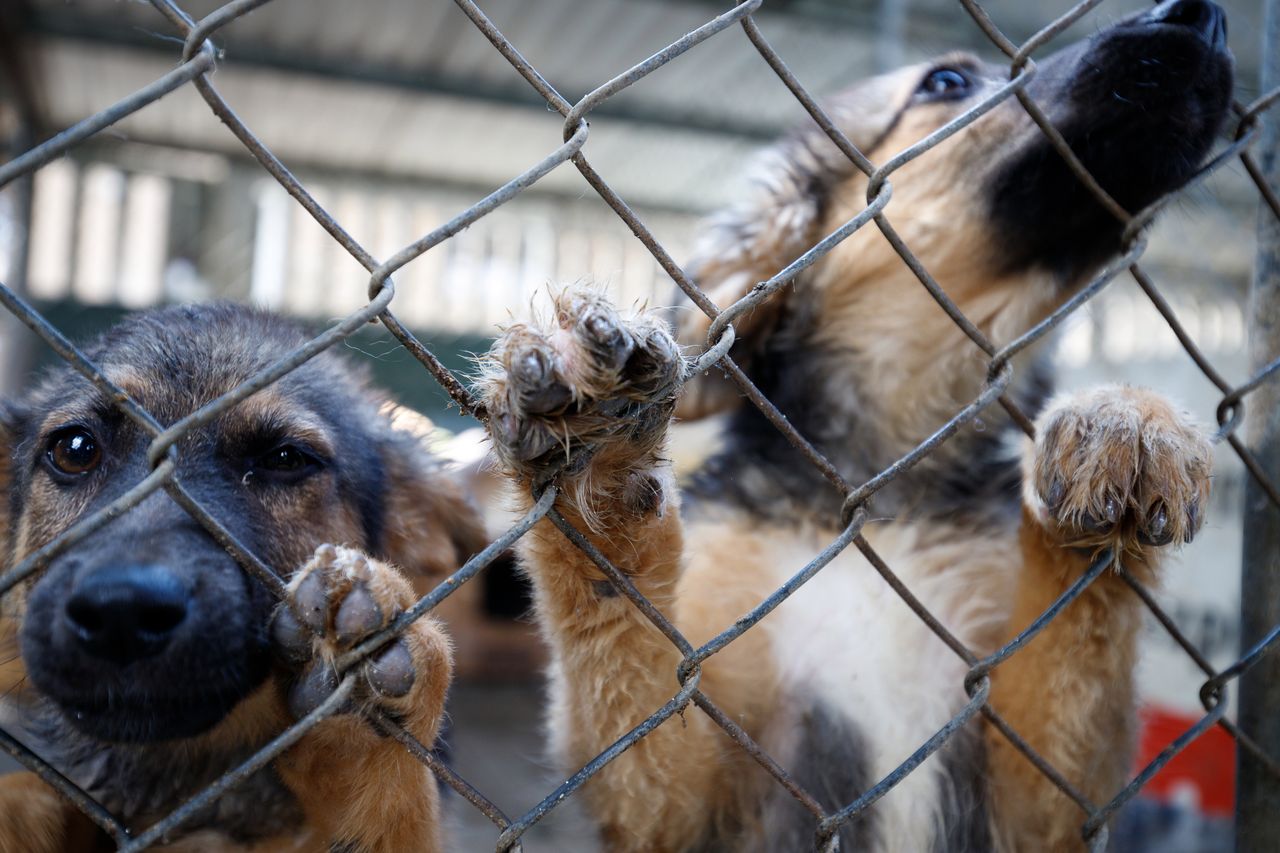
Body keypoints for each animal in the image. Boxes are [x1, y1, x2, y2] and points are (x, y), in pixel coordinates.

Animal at [478, 3, 1228, 845]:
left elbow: (1082, 635)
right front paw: (597, 458)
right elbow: (612, 613)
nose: (1201, 15)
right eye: (947, 81)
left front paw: (1130, 420)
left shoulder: (1045, 799)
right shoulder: (679, 791)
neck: (885, 475)